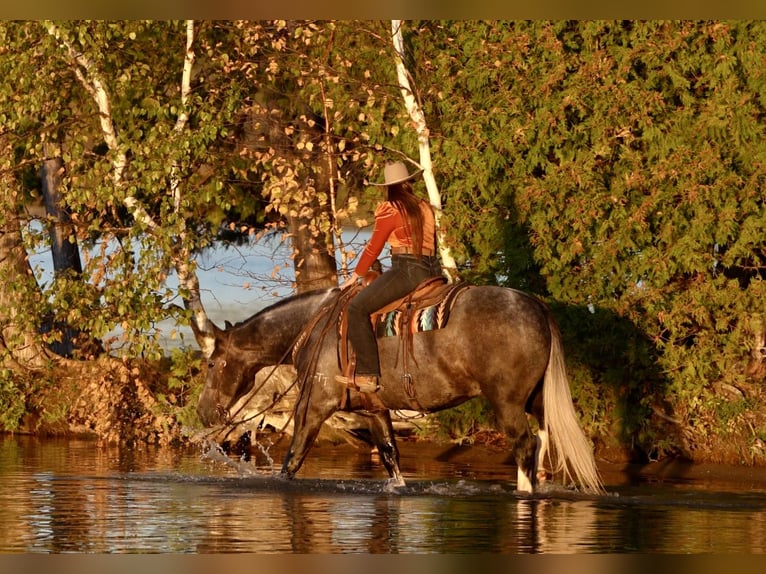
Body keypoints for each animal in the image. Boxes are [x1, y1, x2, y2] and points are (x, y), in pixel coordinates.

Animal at [194, 285, 604, 494]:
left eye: (211, 363)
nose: (204, 412)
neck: (315, 327)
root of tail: (535, 305)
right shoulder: (375, 410)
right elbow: (391, 458)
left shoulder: (313, 407)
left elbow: (292, 461)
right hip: (536, 401)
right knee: (542, 443)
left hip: (507, 403)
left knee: (525, 447)